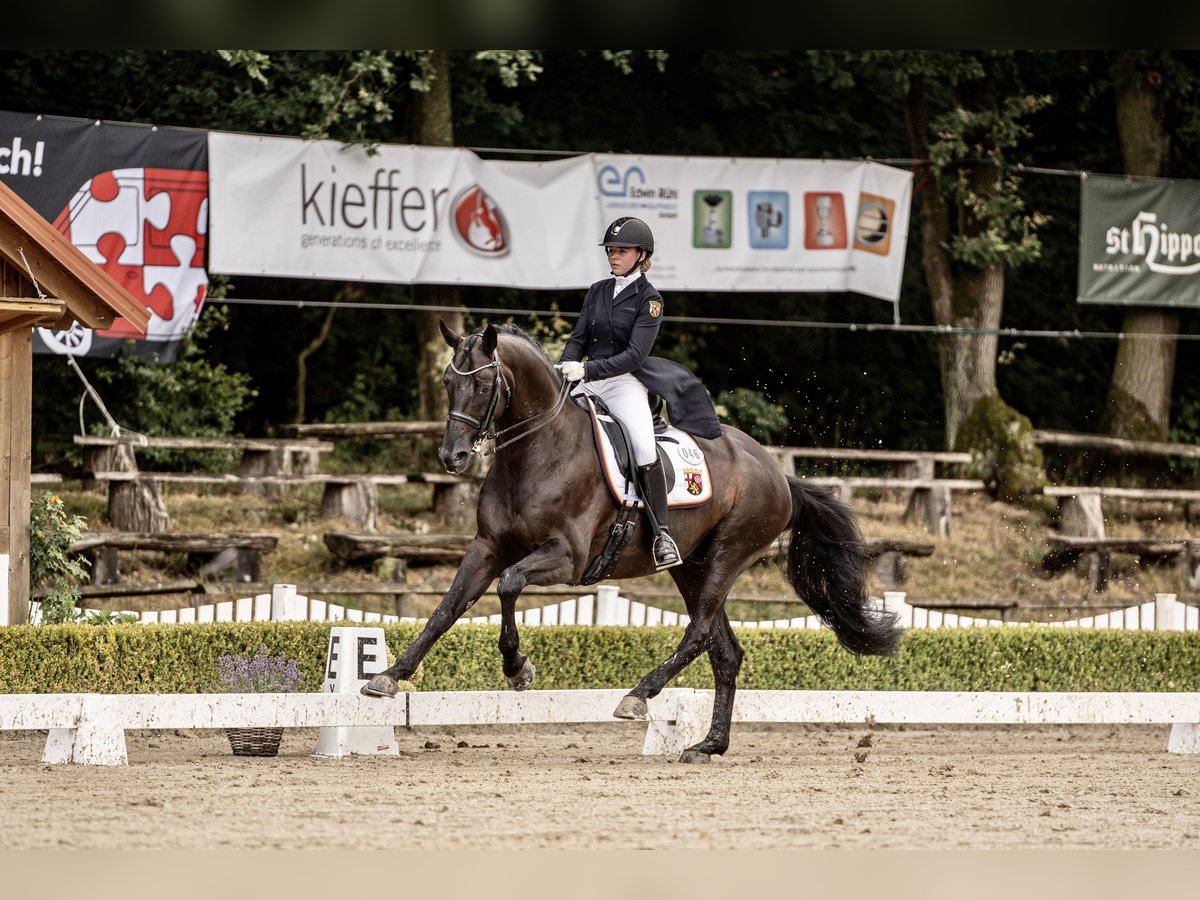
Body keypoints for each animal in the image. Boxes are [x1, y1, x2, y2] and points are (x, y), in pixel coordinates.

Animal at [360, 321, 902, 763]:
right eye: (448, 383)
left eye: (485, 383)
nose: (451, 457)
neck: (536, 453)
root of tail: (777, 473)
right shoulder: (487, 547)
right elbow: (447, 608)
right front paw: (388, 676)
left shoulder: (569, 558)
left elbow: (509, 585)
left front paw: (517, 669)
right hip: (690, 566)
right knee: (725, 651)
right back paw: (707, 745)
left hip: (729, 554)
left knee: (699, 634)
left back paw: (639, 696)